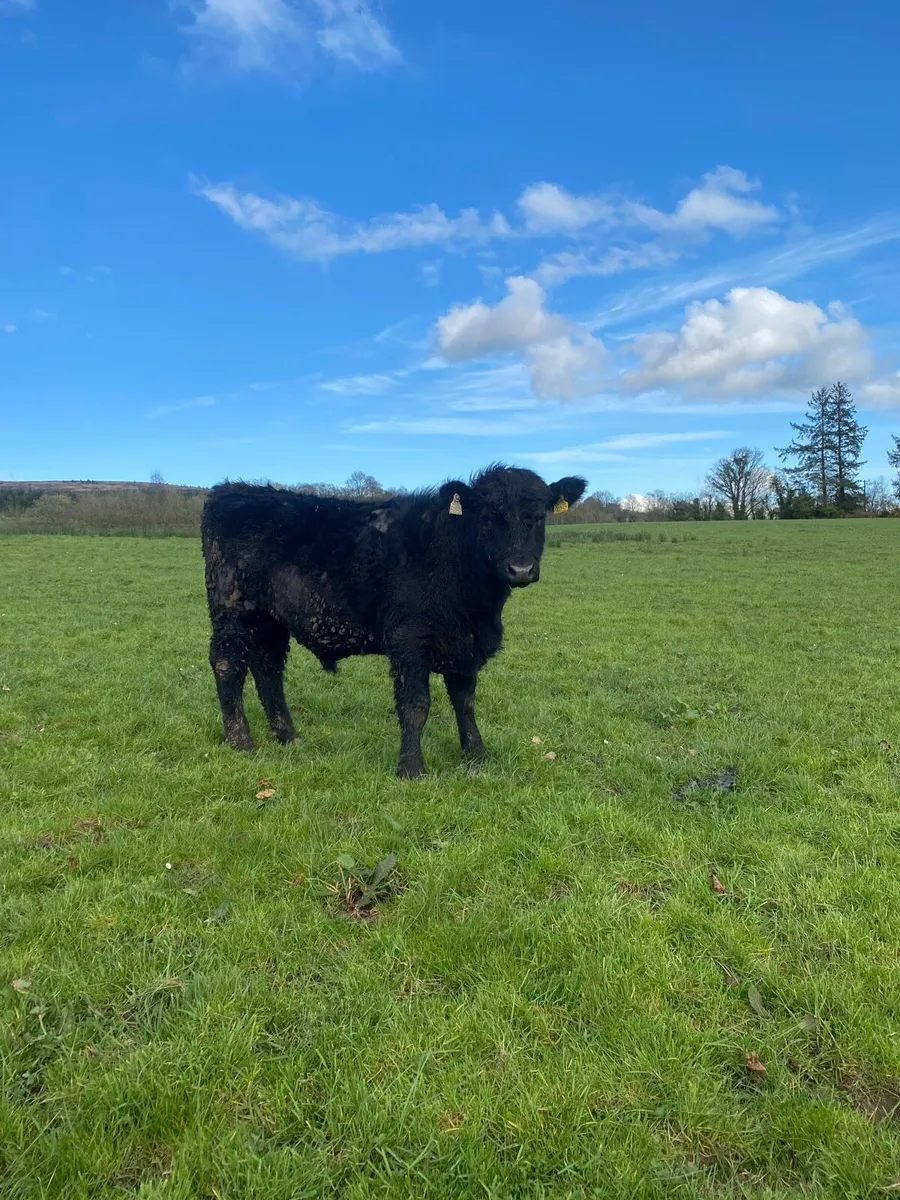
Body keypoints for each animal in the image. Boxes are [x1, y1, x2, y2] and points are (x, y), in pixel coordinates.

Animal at [200, 464, 587, 778]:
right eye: (488, 517)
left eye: (539, 516)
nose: (520, 568)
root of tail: (231, 491)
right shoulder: (407, 640)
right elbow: (416, 706)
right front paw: (411, 768)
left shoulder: (466, 645)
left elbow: (466, 703)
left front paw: (476, 754)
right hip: (232, 610)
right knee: (227, 664)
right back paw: (240, 740)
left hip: (270, 620)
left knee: (268, 670)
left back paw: (289, 737)